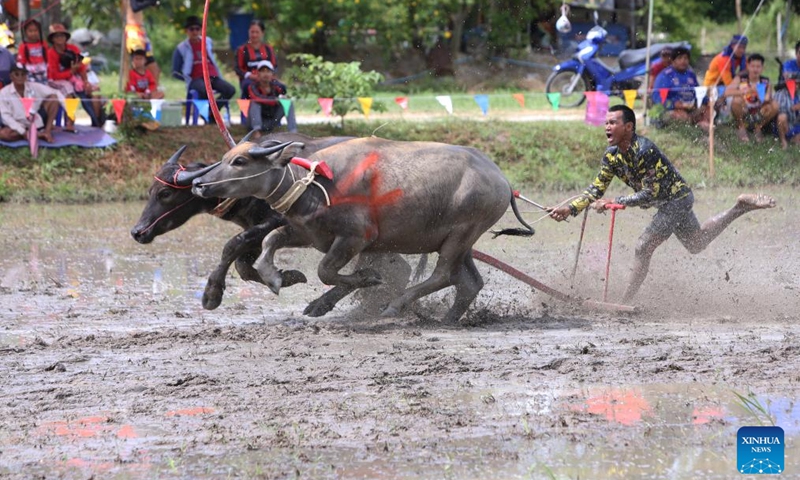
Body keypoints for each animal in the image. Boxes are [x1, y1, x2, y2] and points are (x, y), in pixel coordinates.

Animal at [191, 137, 534, 322]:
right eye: (224, 158)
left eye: (239, 161)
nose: (198, 184)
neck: (315, 184)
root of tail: (502, 180)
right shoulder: (307, 233)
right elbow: (271, 243)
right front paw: (281, 277)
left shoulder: (355, 239)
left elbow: (326, 271)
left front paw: (368, 278)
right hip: (460, 241)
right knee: (469, 282)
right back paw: (449, 319)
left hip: (461, 235)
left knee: (444, 275)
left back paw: (394, 305)